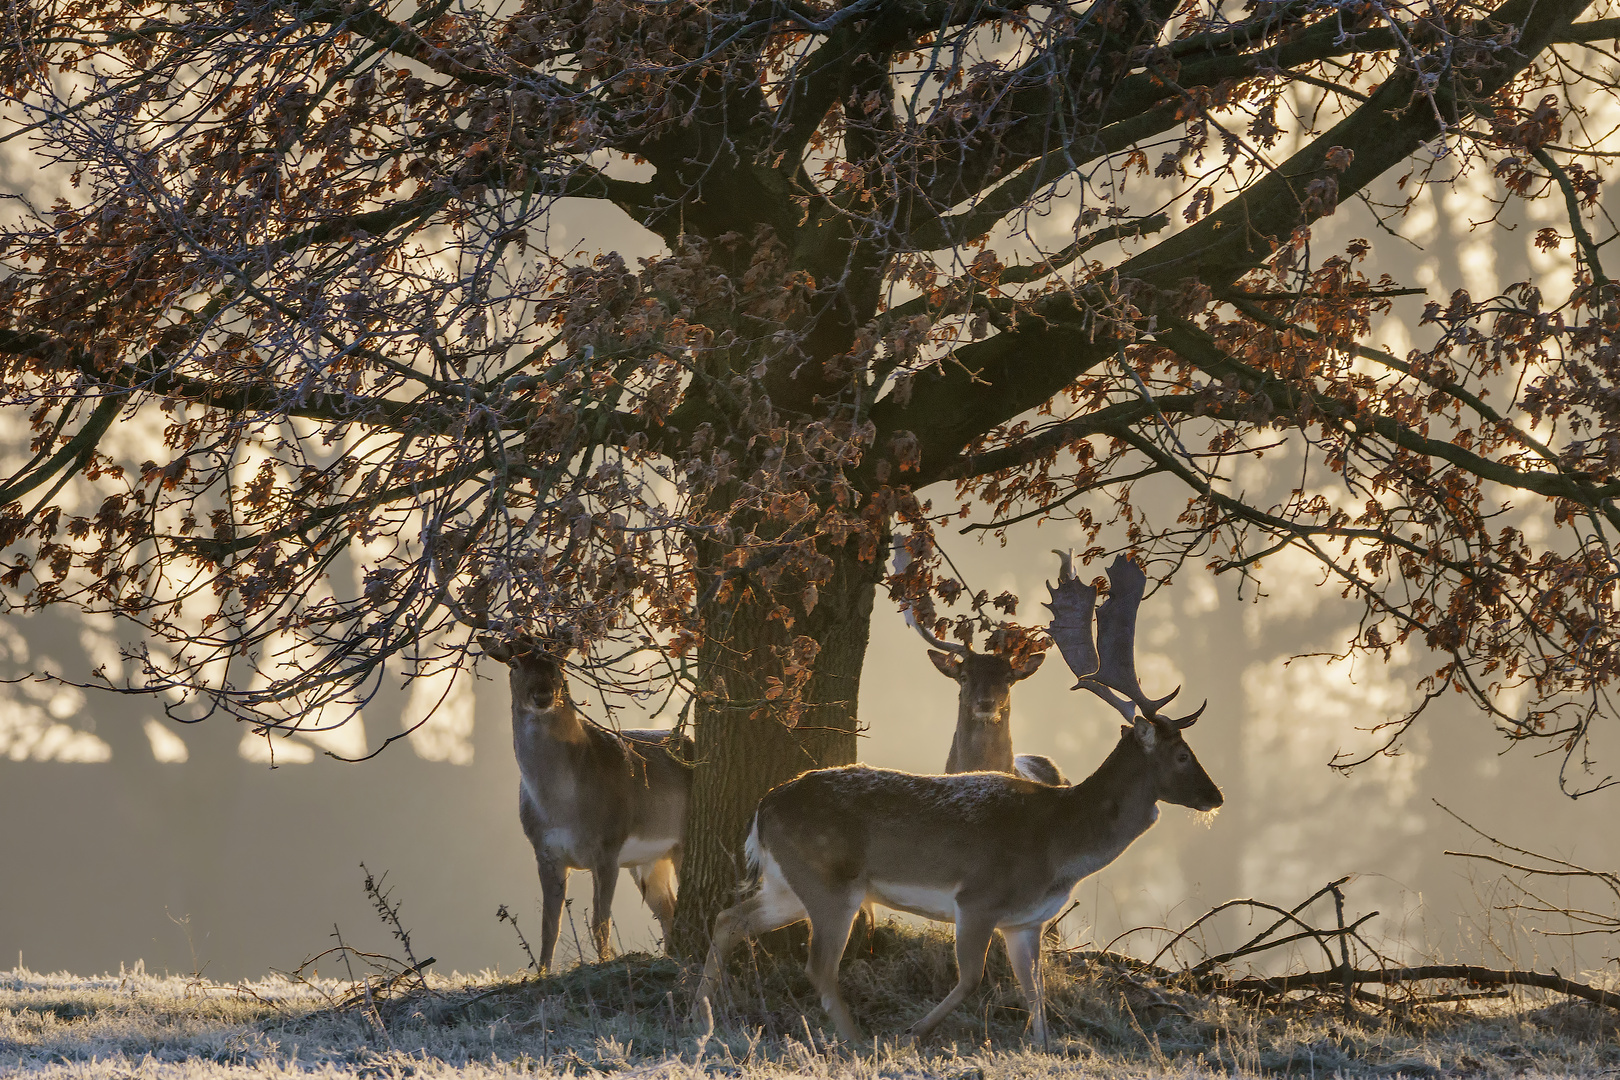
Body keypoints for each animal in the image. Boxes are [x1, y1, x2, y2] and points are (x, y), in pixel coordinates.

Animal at [473, 634, 690, 971]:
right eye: (514, 662)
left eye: (559, 660)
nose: (543, 695)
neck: (560, 807)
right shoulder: (544, 851)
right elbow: (550, 926)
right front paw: (542, 973)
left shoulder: (609, 844)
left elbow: (600, 922)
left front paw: (604, 963)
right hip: (650, 859)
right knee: (668, 909)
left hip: (682, 841)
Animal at [690, 553, 1218, 1042]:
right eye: (1182, 755)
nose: (1216, 796)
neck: (1059, 843)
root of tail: (763, 808)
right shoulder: (977, 898)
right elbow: (971, 980)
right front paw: (914, 1031)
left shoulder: (1026, 923)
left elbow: (1036, 995)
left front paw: (1044, 1047)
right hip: (830, 883)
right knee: (817, 966)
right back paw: (856, 1042)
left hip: (788, 884)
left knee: (730, 918)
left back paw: (706, 1014)